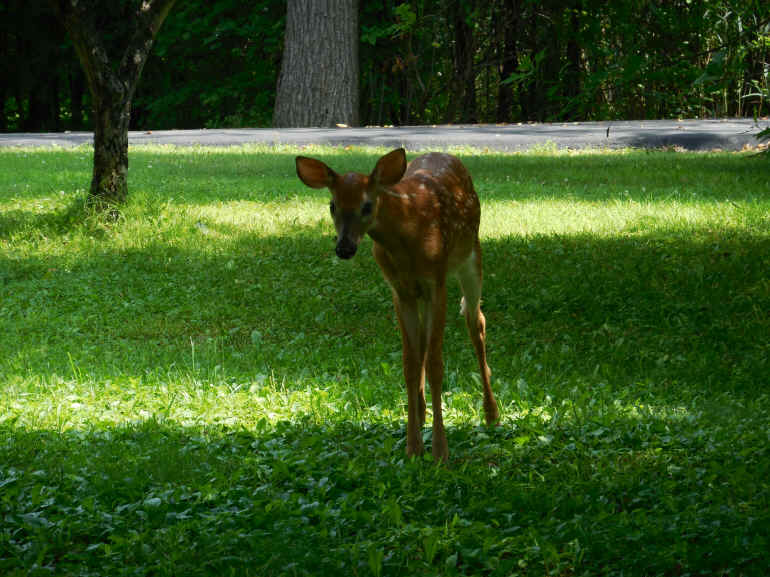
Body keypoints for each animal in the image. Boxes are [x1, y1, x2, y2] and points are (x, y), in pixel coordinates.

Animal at [295, 148, 499, 462]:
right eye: (332, 205)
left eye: (367, 205)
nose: (344, 248)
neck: (407, 237)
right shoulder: (399, 291)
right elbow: (409, 362)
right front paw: (413, 446)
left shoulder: (436, 283)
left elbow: (436, 362)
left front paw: (440, 451)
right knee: (424, 344)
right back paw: (423, 410)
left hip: (471, 255)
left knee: (475, 321)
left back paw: (491, 413)